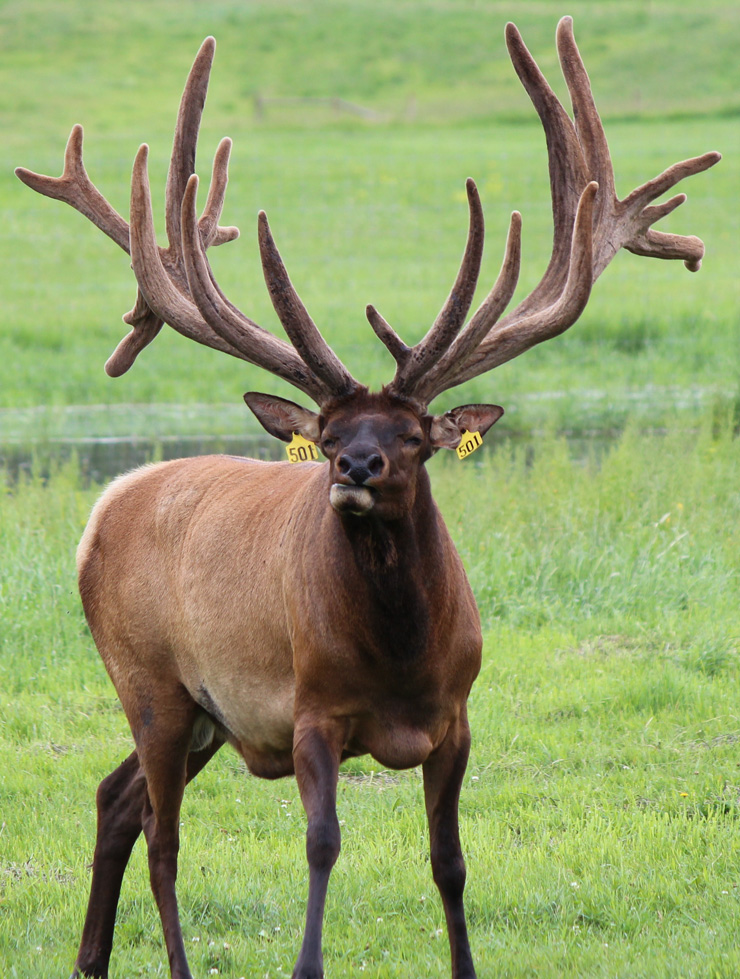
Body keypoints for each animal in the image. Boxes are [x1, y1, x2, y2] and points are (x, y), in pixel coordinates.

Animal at [17, 15, 720, 979]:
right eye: (326, 427)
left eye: (415, 435)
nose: (353, 468)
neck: (400, 659)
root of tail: (104, 506)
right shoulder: (309, 710)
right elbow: (322, 843)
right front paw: (307, 963)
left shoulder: (458, 716)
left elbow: (450, 859)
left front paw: (466, 963)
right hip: (150, 682)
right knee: (162, 832)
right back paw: (169, 959)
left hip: (202, 713)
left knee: (114, 797)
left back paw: (91, 957)